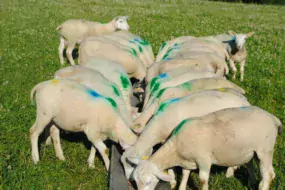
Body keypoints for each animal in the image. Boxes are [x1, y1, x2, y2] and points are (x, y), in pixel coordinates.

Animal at [131, 105, 282, 190]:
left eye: (148, 182)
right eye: (135, 181)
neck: (174, 149)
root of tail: (274, 119)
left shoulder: (203, 160)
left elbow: (203, 179)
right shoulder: (187, 161)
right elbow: (185, 174)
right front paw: (181, 188)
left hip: (265, 150)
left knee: (268, 175)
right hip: (255, 152)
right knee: (263, 170)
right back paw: (253, 183)